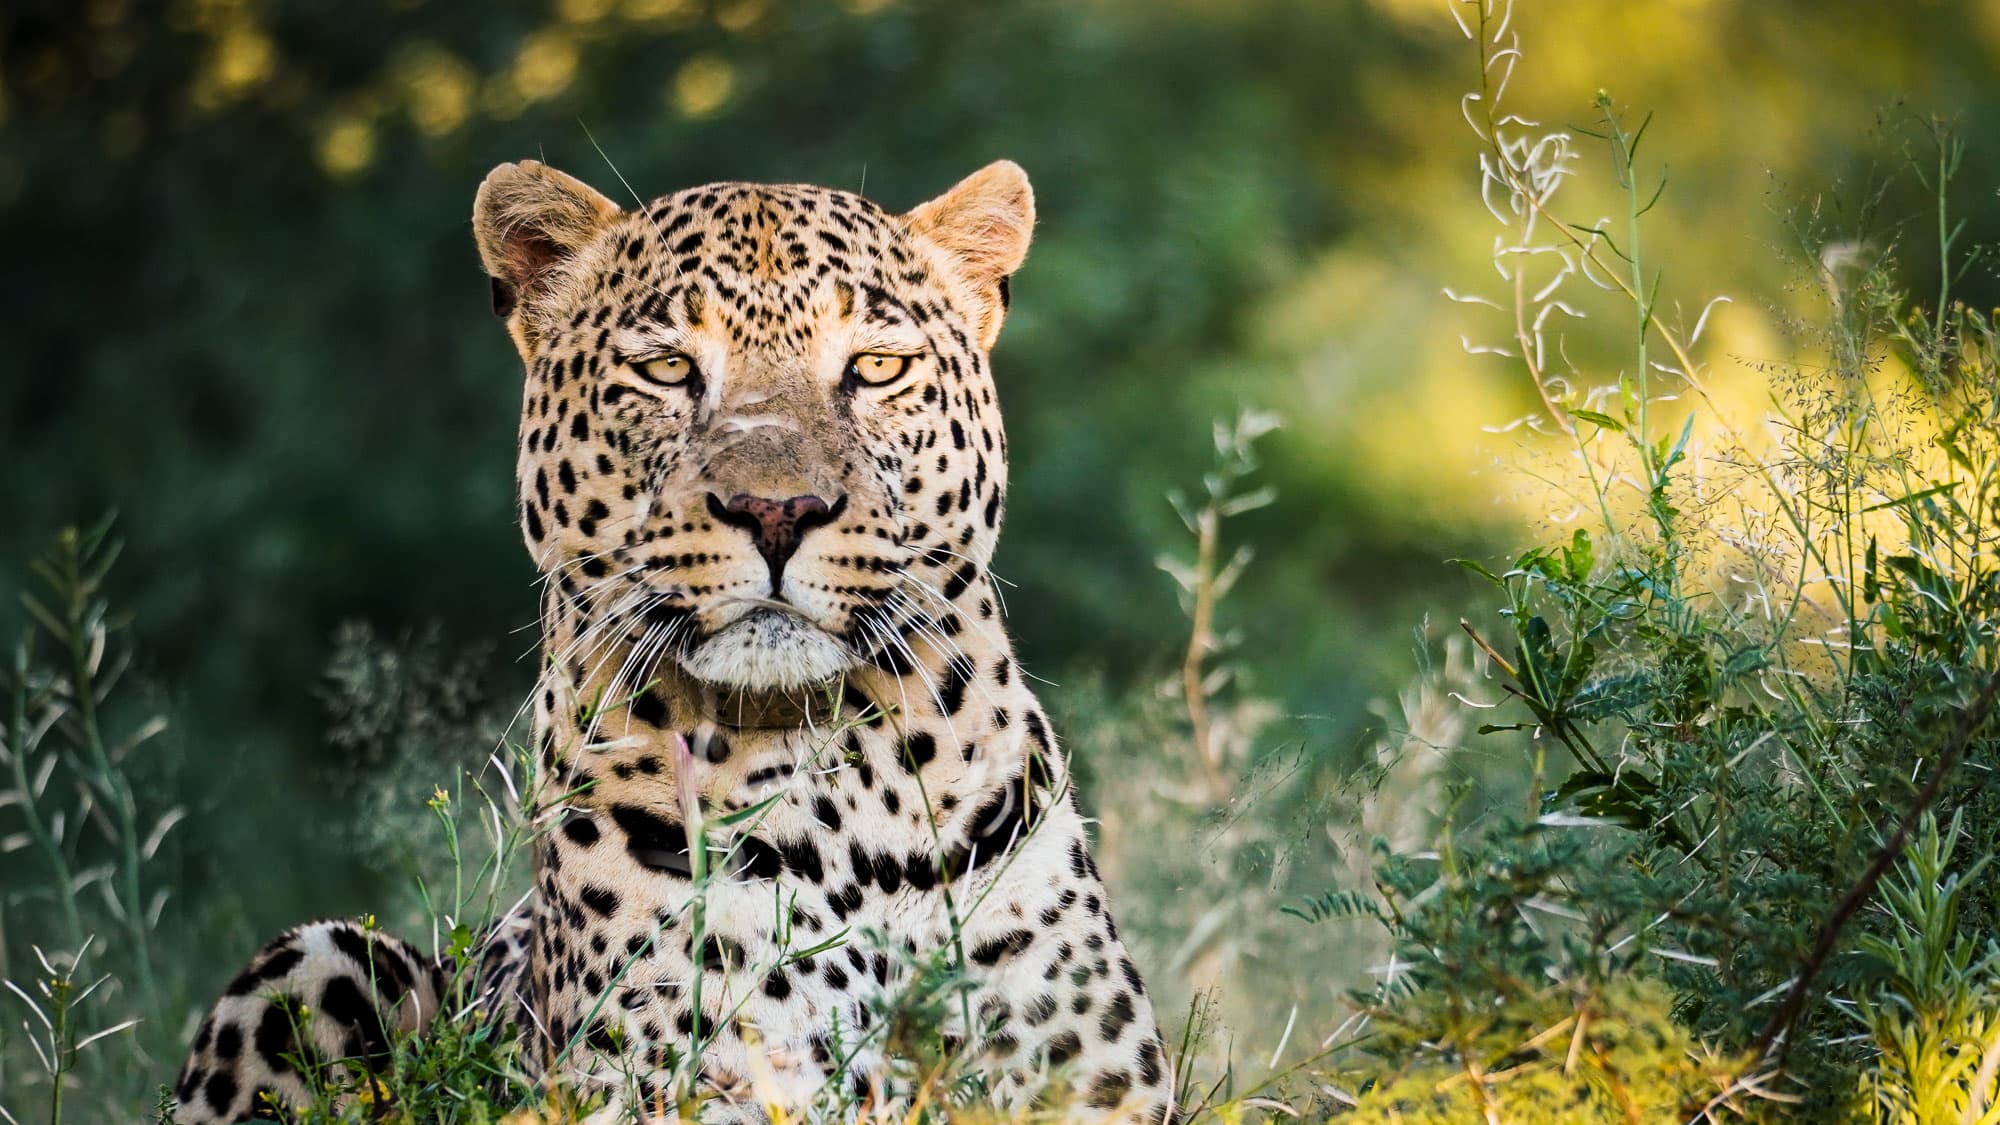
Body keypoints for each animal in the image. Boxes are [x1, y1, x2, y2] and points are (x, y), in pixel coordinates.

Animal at [171, 158, 1174, 1123]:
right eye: (665, 369)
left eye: (878, 366)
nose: (778, 510)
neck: (847, 799)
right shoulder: (668, 1092)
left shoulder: (1095, 1086)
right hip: (319, 959)